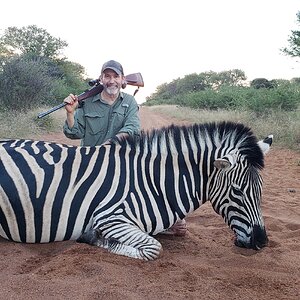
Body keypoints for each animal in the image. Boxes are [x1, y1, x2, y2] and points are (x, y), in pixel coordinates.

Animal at [0, 122, 272, 260]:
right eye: (237, 191)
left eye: (260, 190)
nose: (262, 241)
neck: (152, 181)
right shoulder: (110, 217)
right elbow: (153, 249)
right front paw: (91, 238)